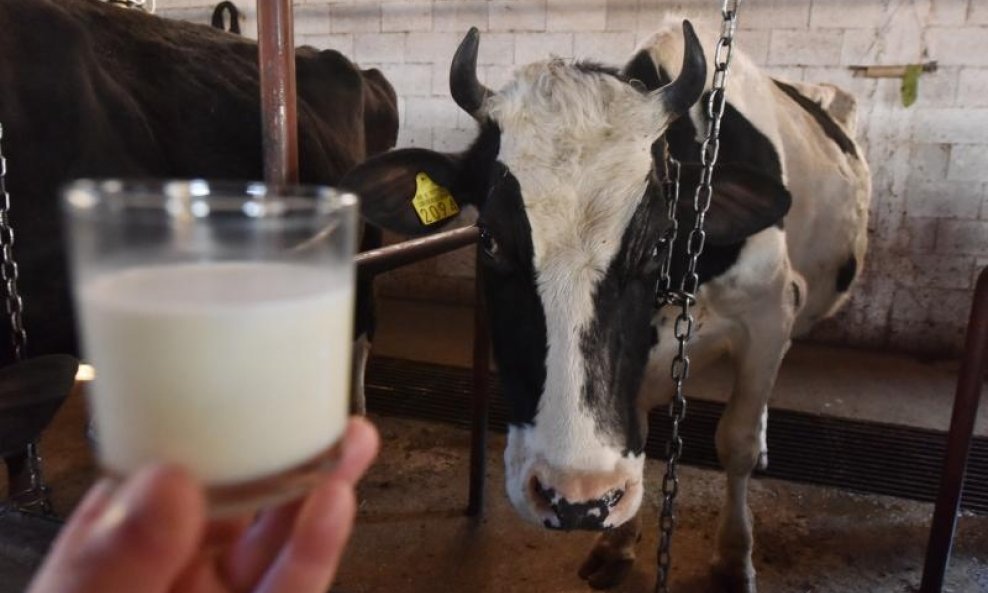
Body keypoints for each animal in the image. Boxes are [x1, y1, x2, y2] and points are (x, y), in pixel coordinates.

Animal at [344, 18, 868, 592]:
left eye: (660, 239)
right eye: (488, 238)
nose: (574, 500)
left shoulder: (769, 313)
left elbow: (738, 442)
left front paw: (733, 559)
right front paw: (617, 542)